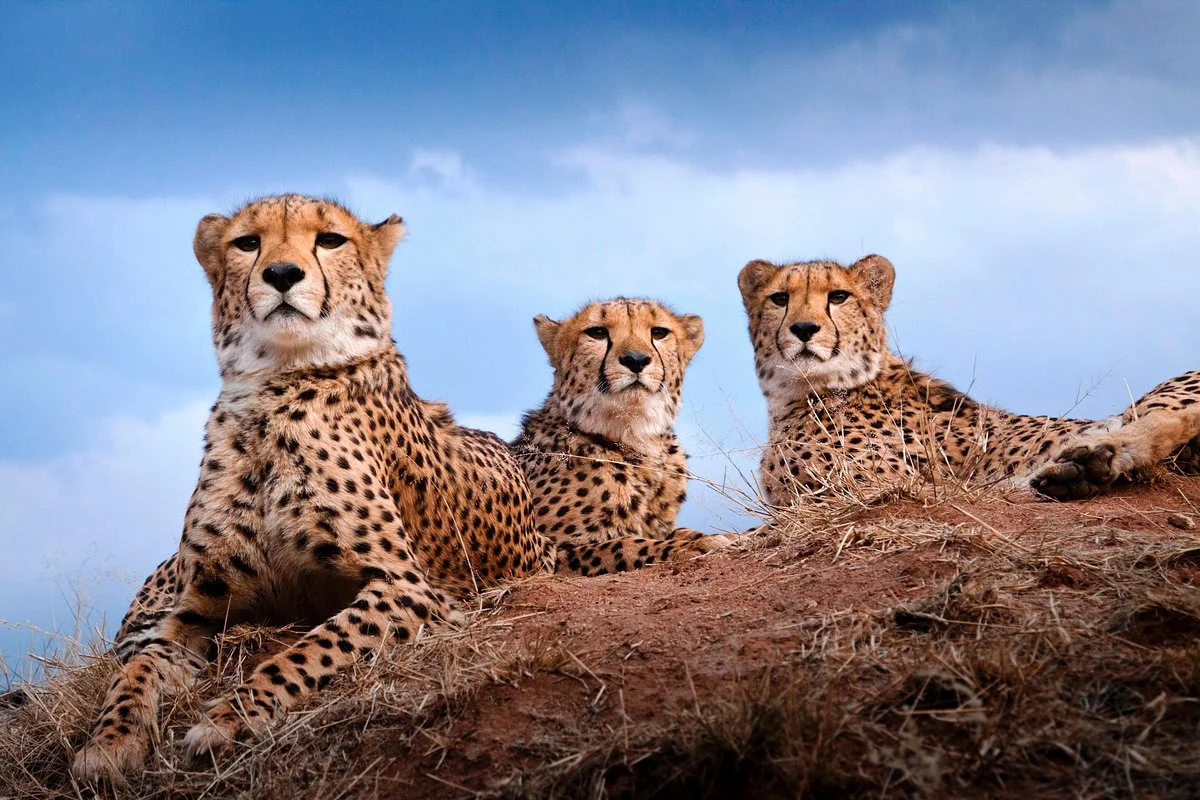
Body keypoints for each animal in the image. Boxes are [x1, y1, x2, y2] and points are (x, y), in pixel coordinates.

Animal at [72, 194, 554, 782]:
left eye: (329, 240)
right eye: (247, 243)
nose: (282, 273)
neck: (274, 382)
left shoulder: (409, 590)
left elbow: (308, 650)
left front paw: (229, 719)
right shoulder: (194, 610)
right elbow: (135, 674)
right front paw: (108, 745)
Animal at [512, 299, 732, 576]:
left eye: (659, 332)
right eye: (597, 332)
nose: (636, 359)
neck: (636, 437)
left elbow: (675, 531)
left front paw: (721, 537)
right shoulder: (543, 556)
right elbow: (623, 544)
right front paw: (696, 545)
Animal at [737, 254, 1200, 507]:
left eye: (838, 296)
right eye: (780, 298)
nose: (804, 328)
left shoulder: (872, 489)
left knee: (1163, 423)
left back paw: (1080, 462)